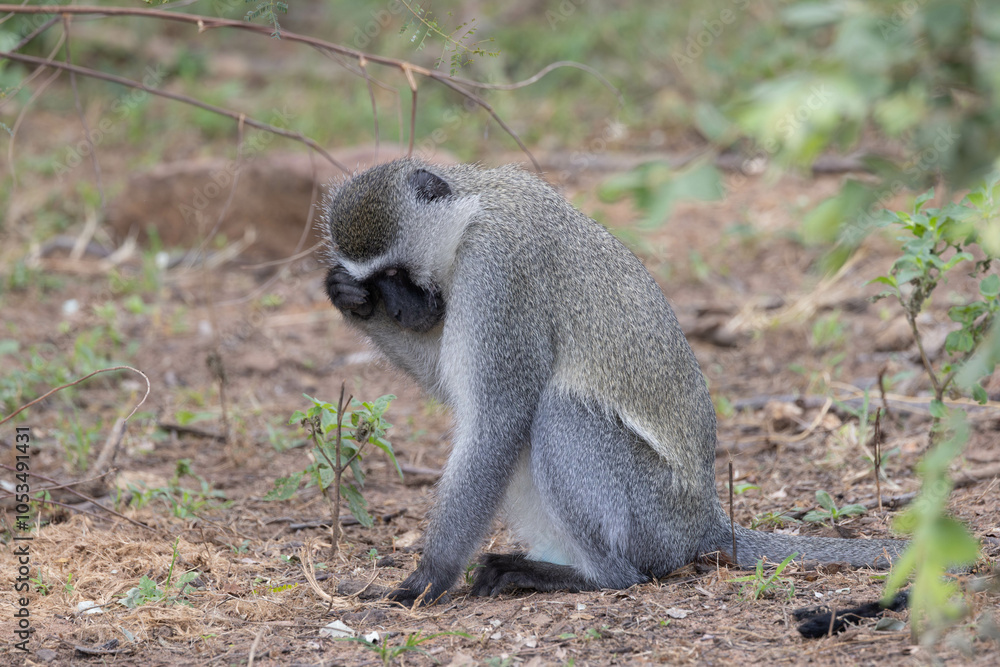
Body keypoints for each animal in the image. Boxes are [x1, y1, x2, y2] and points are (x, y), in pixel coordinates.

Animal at [322, 158, 907, 607]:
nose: (401, 311)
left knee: (558, 413)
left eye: (396, 275)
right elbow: (462, 396)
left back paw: (589, 576)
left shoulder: (497, 273)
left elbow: (496, 418)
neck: (474, 210)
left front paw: (428, 580)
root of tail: (704, 523)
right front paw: (345, 299)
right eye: (376, 284)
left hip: (652, 517)